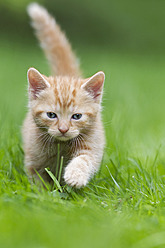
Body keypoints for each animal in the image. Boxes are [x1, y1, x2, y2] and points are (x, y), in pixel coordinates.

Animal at [22, 2, 105, 188]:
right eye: (51, 115)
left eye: (77, 116)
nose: (63, 129)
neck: (61, 146)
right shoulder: (32, 160)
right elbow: (37, 180)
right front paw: (44, 192)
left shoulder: (92, 147)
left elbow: (84, 159)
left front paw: (75, 176)